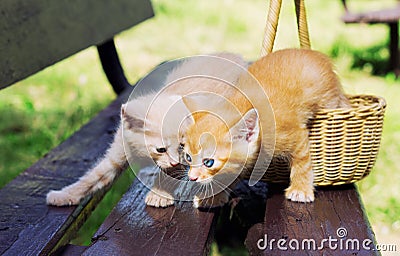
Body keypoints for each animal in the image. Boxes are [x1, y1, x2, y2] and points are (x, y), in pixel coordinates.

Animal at [181, 48, 350, 208]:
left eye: (208, 162)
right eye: (188, 157)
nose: (192, 177)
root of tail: (317, 54)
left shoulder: (296, 135)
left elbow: (302, 162)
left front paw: (300, 189)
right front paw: (213, 197)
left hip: (329, 100)